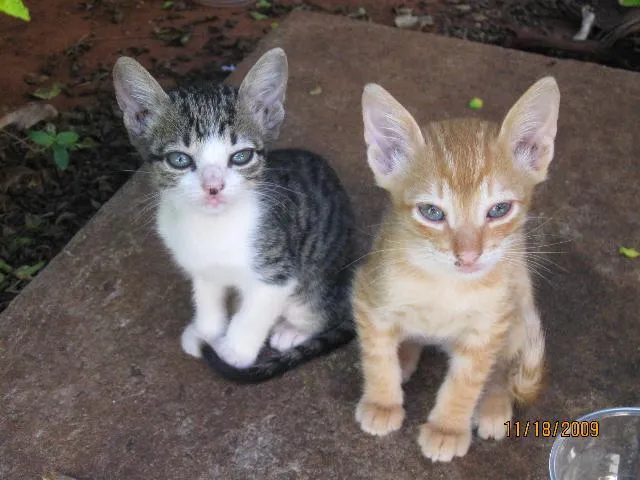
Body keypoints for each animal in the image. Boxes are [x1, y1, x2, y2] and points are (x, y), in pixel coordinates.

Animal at [112, 47, 358, 380]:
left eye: (241, 156)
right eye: (179, 159)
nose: (213, 187)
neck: (212, 228)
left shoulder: (276, 273)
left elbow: (253, 314)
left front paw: (232, 351)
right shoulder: (200, 267)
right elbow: (207, 298)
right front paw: (206, 332)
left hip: (319, 277)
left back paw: (294, 330)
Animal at [356, 78, 560, 462]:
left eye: (498, 209)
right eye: (432, 213)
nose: (468, 255)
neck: (446, 285)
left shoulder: (489, 325)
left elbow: (467, 381)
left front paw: (448, 428)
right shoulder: (369, 295)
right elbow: (376, 355)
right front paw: (382, 402)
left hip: (518, 304)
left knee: (504, 366)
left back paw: (494, 402)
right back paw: (405, 353)